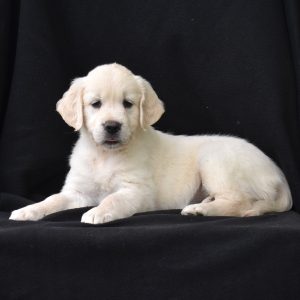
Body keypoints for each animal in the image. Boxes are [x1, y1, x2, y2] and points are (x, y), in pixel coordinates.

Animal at [9, 62, 292, 223]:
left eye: (128, 104)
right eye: (95, 104)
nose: (112, 126)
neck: (106, 155)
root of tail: (279, 176)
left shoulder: (137, 190)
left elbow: (113, 199)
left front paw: (97, 212)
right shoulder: (77, 192)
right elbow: (52, 200)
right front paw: (28, 210)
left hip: (215, 160)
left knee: (240, 202)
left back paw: (199, 210)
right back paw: (204, 203)